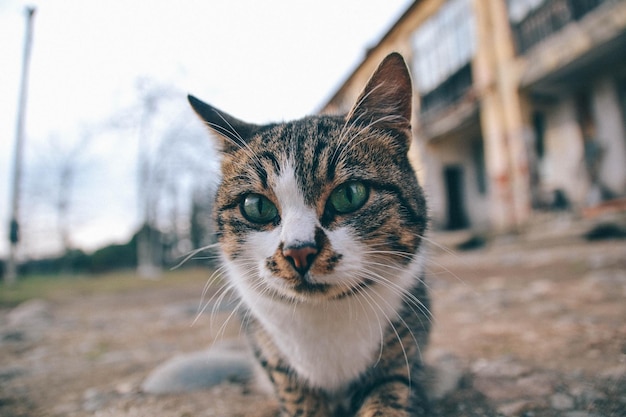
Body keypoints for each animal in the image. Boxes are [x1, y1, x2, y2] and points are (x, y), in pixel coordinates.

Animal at [186, 52, 428, 416]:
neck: (324, 316)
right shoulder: (276, 360)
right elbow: (298, 399)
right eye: (256, 206)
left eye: (350, 195)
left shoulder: (404, 349)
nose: (298, 250)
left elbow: (388, 395)